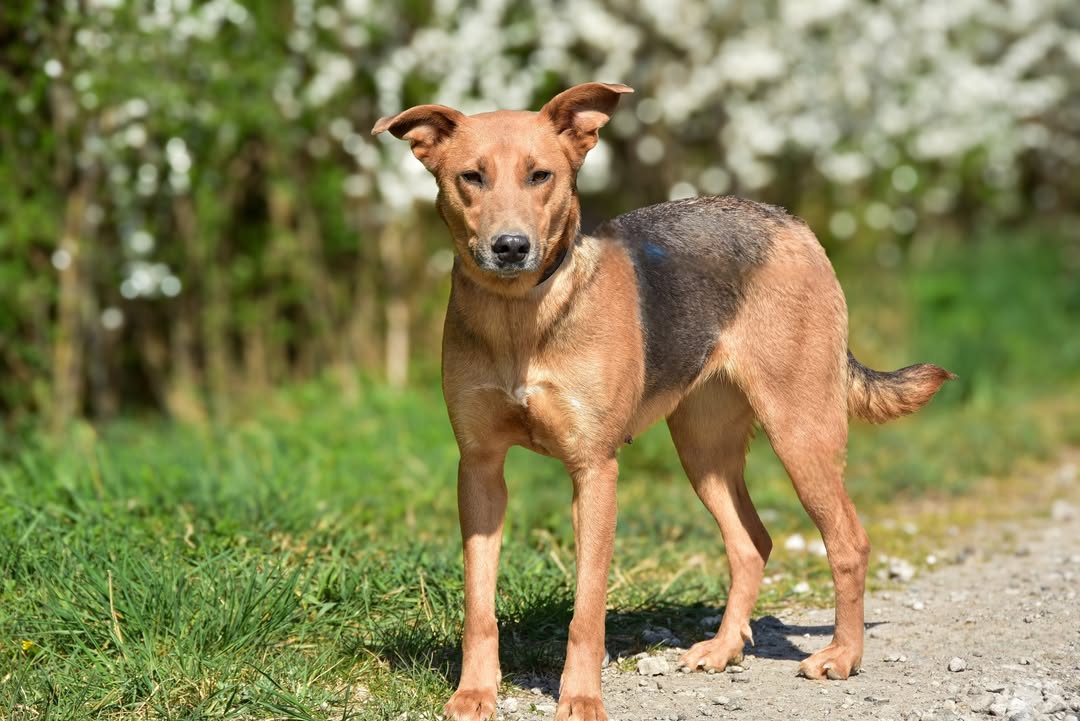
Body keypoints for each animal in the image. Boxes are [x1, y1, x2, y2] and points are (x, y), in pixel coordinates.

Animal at [373, 82, 954, 721]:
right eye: (471, 177)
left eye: (540, 175)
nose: (510, 248)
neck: (519, 315)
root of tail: (791, 223)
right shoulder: (479, 469)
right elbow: (480, 605)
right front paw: (474, 692)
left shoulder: (595, 471)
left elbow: (587, 612)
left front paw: (580, 697)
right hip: (703, 451)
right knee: (751, 543)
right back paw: (723, 648)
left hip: (801, 432)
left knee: (849, 542)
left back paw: (842, 656)